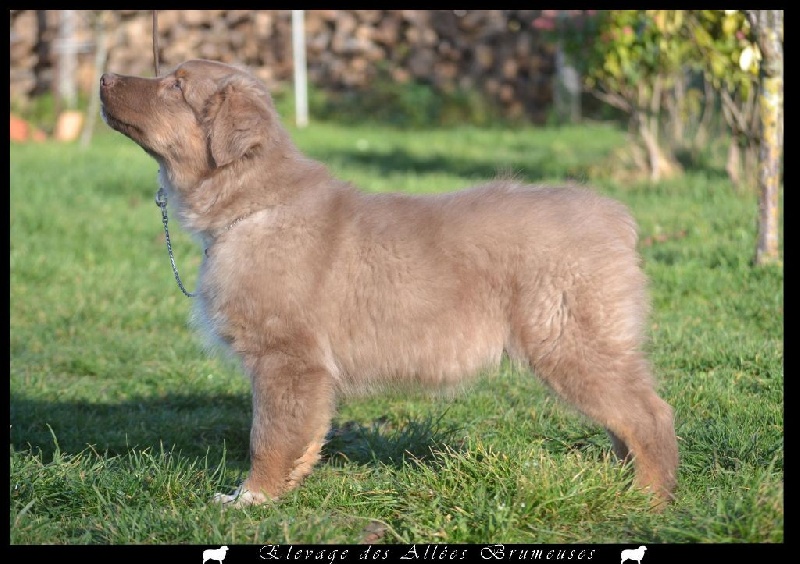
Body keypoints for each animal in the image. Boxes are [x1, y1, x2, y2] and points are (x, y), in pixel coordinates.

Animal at [98, 59, 676, 508]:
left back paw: (647, 498)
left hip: (570, 341)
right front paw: (281, 488)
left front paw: (251, 498)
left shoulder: (286, 359)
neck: (254, 205)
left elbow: (268, 436)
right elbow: (299, 436)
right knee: (626, 419)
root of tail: (613, 217)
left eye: (175, 86)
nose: (103, 76)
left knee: (648, 414)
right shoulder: (298, 371)